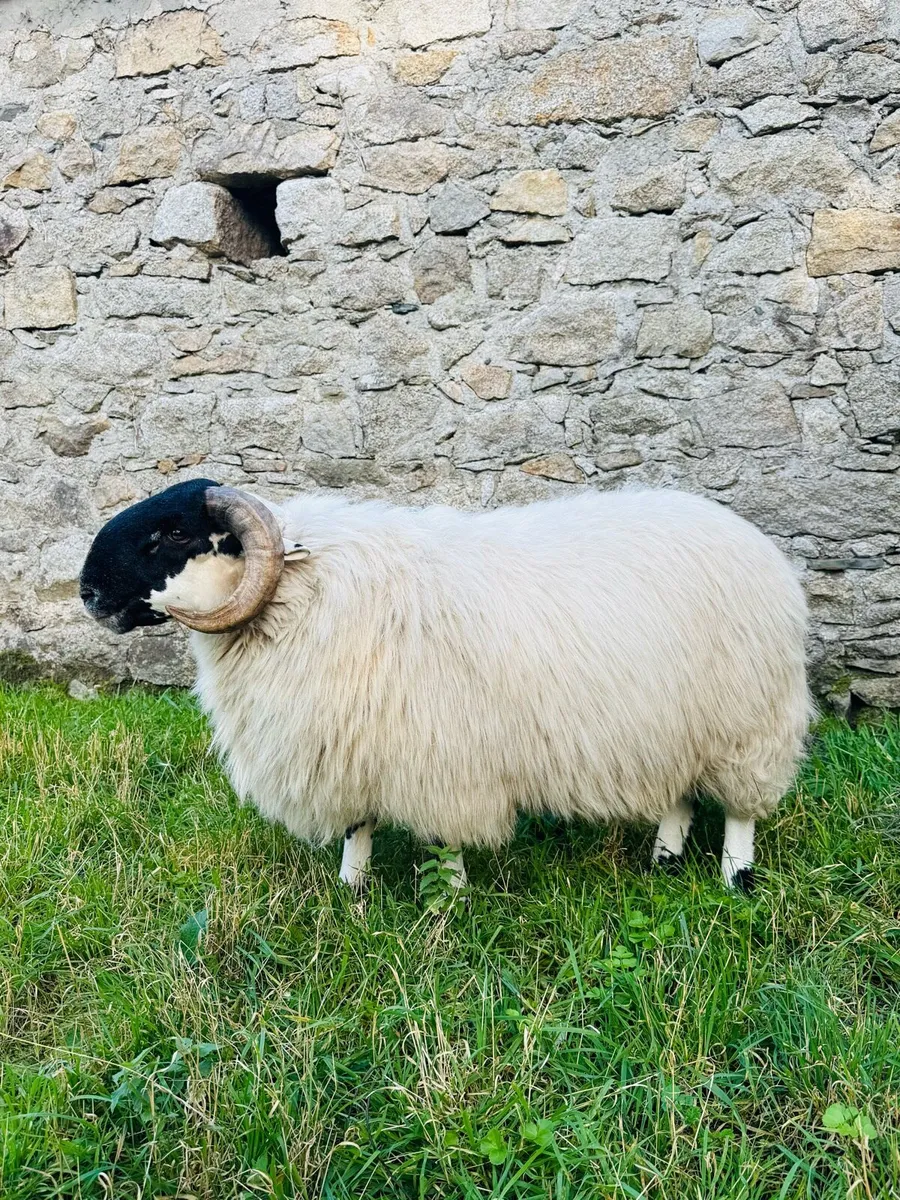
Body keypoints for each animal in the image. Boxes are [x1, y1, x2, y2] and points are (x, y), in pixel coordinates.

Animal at [79, 479, 812, 892]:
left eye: (174, 531)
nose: (86, 592)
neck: (304, 591)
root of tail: (750, 537)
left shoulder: (437, 753)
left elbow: (444, 836)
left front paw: (452, 897)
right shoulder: (352, 741)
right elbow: (359, 824)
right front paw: (352, 892)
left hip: (746, 718)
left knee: (742, 807)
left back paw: (735, 877)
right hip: (679, 722)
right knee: (680, 793)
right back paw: (664, 858)